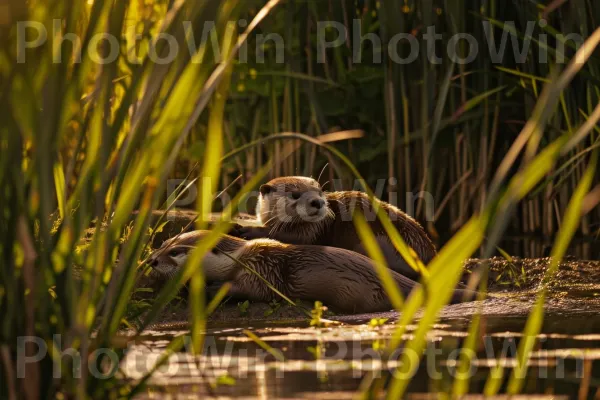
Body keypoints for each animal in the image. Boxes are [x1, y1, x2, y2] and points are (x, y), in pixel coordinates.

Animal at [233, 177, 436, 280]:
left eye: (319, 192)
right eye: (295, 194)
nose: (317, 202)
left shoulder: (316, 228)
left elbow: (293, 236)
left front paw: (249, 230)